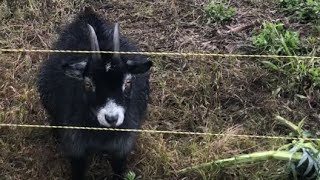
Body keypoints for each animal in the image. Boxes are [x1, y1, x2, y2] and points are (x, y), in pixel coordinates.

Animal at [37, 7, 152, 180]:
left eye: (128, 82)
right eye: (88, 84)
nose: (111, 118)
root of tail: (88, 15)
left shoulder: (122, 147)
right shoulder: (75, 147)